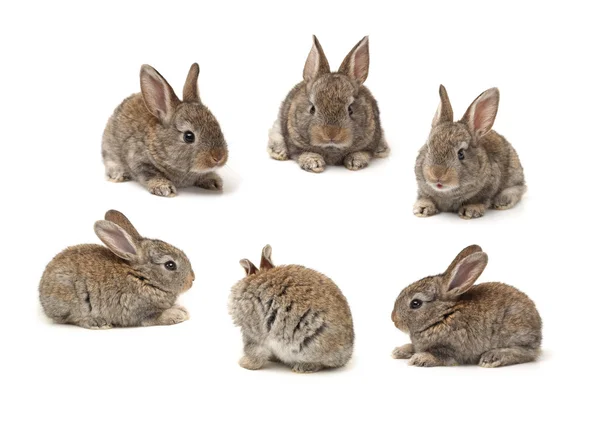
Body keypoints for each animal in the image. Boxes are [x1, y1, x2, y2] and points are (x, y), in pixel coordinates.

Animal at [39, 211, 195, 330]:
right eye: (170, 265)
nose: (192, 279)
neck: (142, 276)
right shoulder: (141, 312)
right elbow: (156, 317)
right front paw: (179, 314)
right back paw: (98, 323)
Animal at [268, 35, 390, 173]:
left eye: (350, 109)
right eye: (312, 109)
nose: (331, 134)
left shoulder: (369, 142)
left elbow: (362, 153)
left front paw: (355, 162)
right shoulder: (295, 144)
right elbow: (304, 153)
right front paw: (314, 164)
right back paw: (278, 152)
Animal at [392, 246, 540, 368]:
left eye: (415, 303)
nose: (394, 320)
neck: (443, 315)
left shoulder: (452, 349)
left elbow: (440, 356)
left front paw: (419, 359)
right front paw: (399, 351)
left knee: (527, 352)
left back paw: (492, 357)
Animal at [412, 85, 524, 219]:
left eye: (461, 154)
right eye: (428, 147)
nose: (437, 174)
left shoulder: (487, 189)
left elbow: (479, 200)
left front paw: (470, 210)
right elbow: (425, 197)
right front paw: (422, 208)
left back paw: (502, 201)